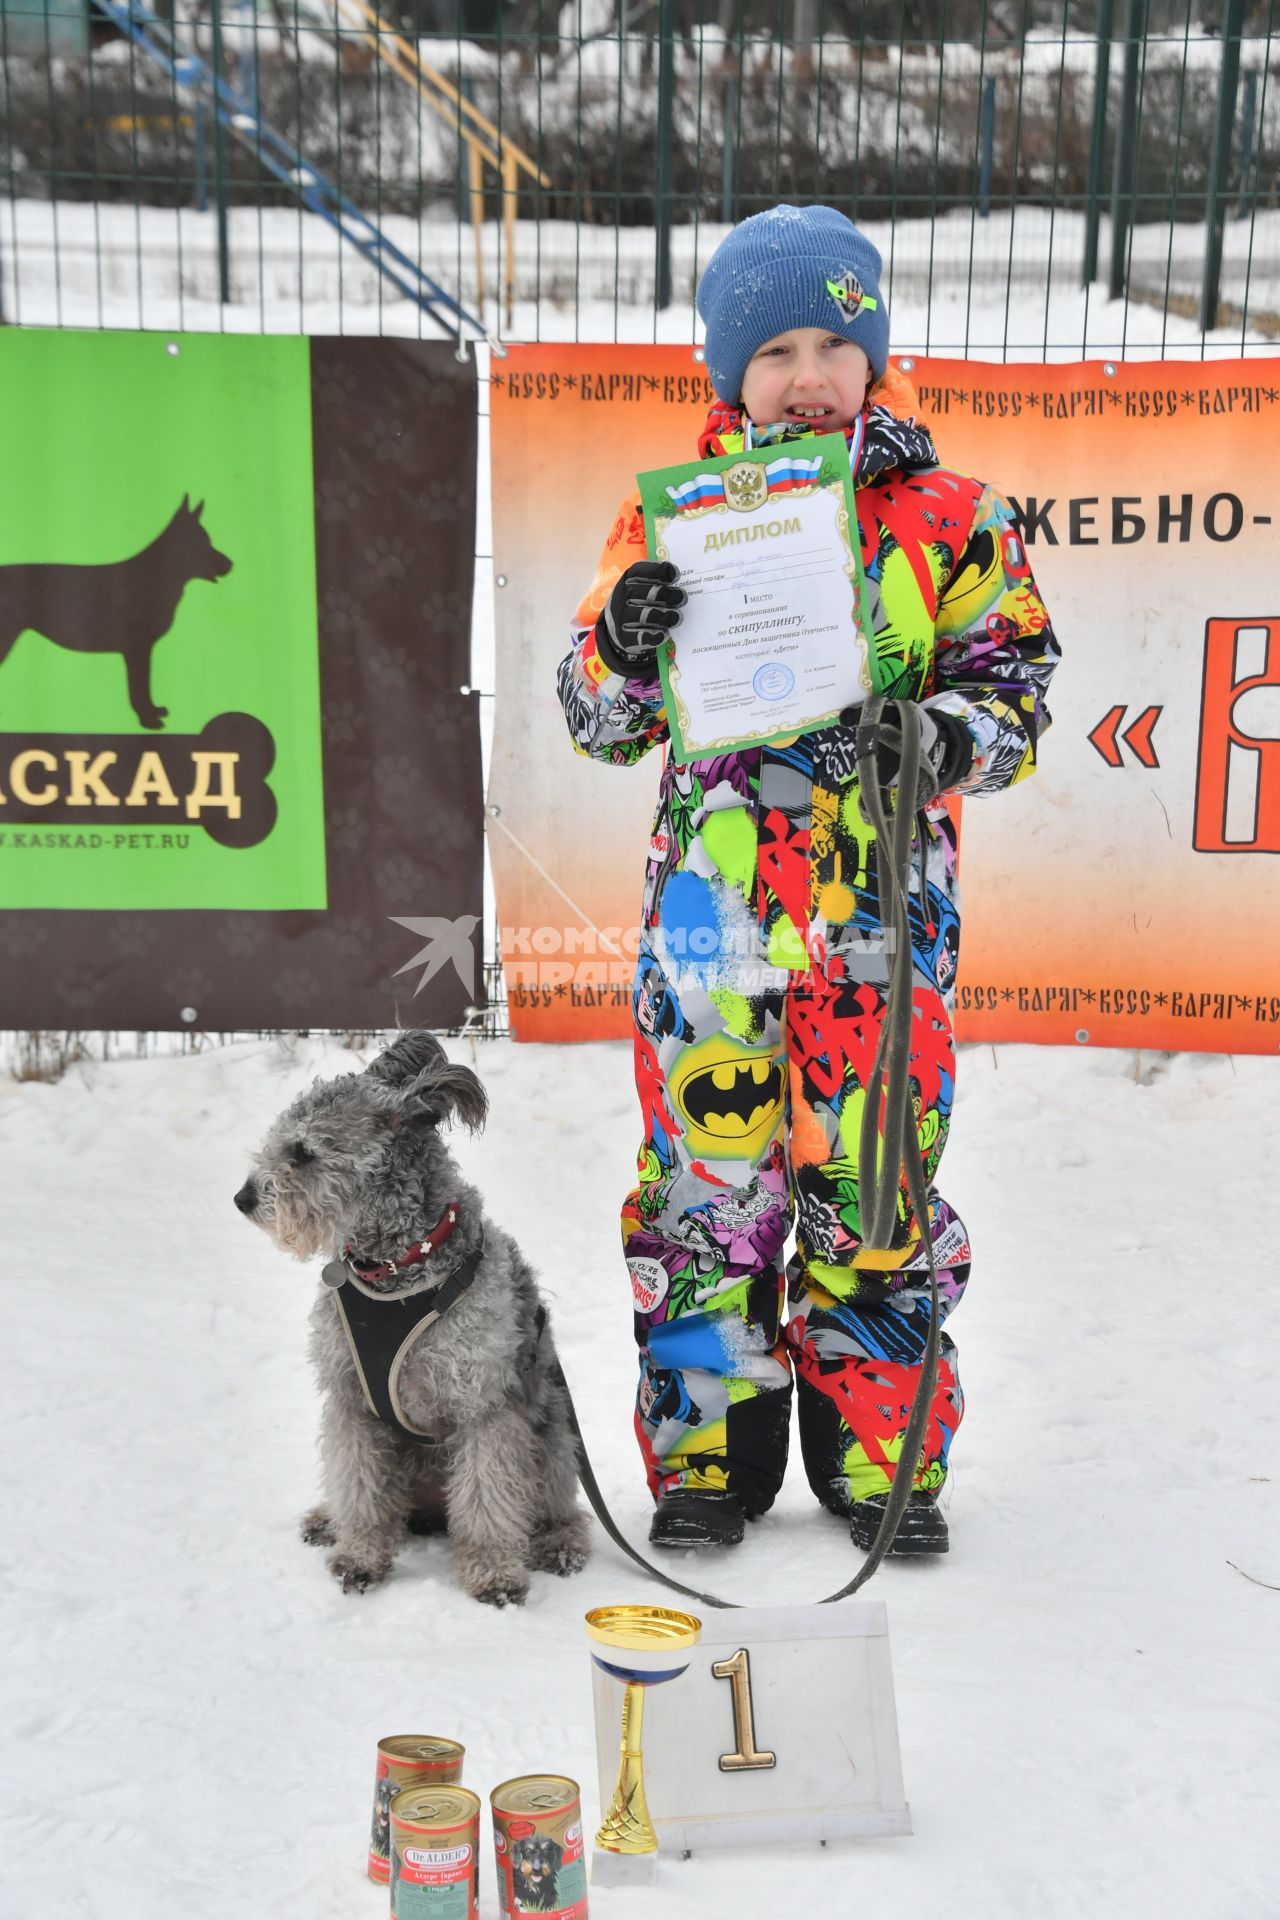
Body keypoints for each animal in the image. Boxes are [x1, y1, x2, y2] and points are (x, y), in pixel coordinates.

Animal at [235, 1036, 591, 1605]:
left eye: (304, 1152)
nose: (243, 1198)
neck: (395, 1269)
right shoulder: (351, 1403)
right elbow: (360, 1490)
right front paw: (359, 1556)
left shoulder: (483, 1408)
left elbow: (489, 1500)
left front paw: (495, 1573)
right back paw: (330, 1520)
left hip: (554, 1434)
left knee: (560, 1511)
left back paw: (559, 1545)